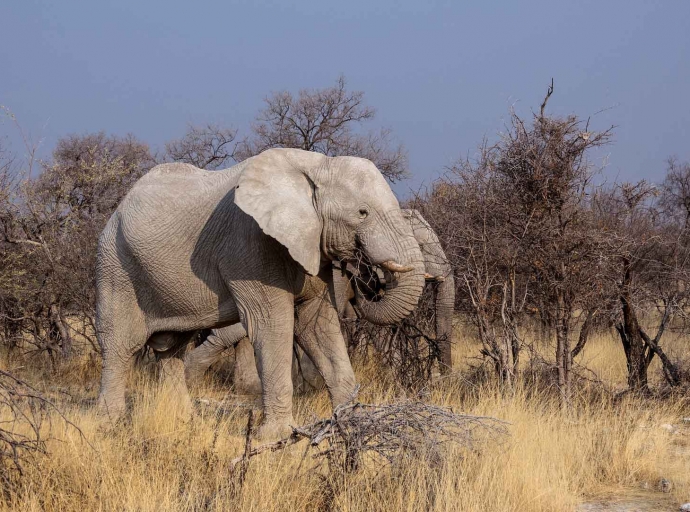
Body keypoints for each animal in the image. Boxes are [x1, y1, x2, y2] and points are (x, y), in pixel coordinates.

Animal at [92, 147, 424, 436]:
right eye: (362, 212)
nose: (366, 279)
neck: (317, 165)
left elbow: (316, 324)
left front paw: (350, 423)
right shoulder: (249, 245)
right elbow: (272, 324)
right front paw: (275, 436)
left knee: (171, 349)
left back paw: (184, 421)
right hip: (115, 265)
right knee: (120, 344)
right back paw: (108, 424)